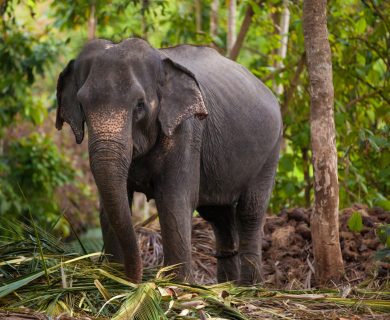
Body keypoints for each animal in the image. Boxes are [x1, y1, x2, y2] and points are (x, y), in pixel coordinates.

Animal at [56, 38, 282, 284]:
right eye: (82, 104)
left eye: (140, 105)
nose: (136, 278)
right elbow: (109, 206)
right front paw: (113, 279)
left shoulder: (186, 131)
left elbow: (174, 201)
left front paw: (176, 284)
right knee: (218, 215)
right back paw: (227, 285)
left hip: (270, 152)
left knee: (250, 212)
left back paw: (249, 286)